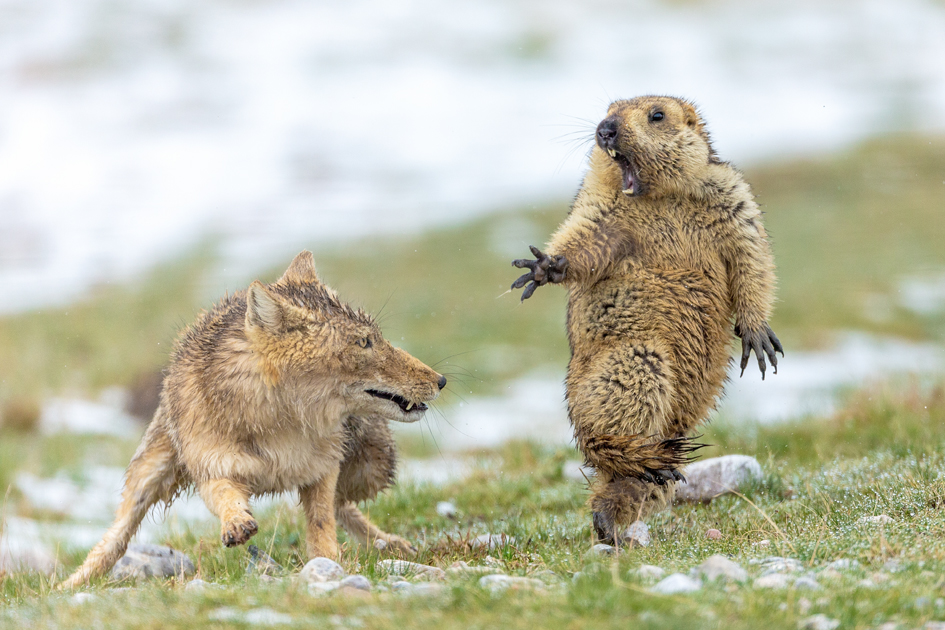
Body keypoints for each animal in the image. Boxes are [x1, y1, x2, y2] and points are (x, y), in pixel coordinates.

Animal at [60, 249, 444, 592]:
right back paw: (68, 585)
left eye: (376, 337)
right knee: (115, 539)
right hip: (148, 475)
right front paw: (236, 523)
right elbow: (226, 497)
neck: (279, 425)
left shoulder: (321, 469)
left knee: (344, 505)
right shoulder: (213, 468)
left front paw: (329, 563)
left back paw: (391, 544)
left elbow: (322, 523)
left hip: (372, 468)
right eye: (364, 342)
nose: (440, 380)